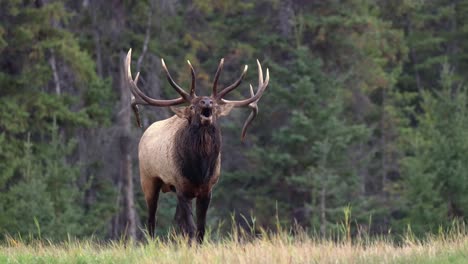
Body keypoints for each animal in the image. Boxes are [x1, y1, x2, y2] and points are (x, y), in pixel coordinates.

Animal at [124, 48, 270, 242]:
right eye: (192, 106)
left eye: (214, 106)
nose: (206, 101)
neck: (200, 171)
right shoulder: (181, 187)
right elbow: (191, 228)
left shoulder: (206, 190)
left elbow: (200, 229)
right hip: (148, 180)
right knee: (151, 220)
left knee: (176, 220)